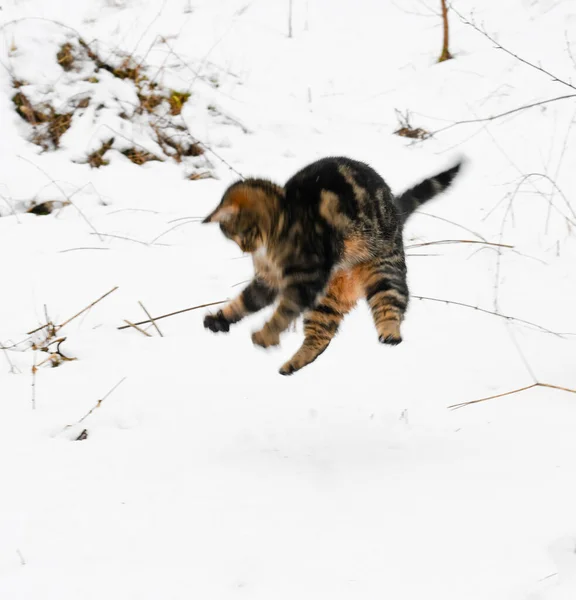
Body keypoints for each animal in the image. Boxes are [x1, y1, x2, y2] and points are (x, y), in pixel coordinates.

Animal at [202, 157, 464, 378]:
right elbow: (247, 301)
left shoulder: (306, 280)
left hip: (382, 271)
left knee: (392, 302)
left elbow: (283, 313)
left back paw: (390, 334)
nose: (244, 249)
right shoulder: (269, 281)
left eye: (235, 236)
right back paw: (291, 365)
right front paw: (220, 318)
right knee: (321, 338)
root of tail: (396, 211)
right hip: (326, 301)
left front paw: (266, 335)